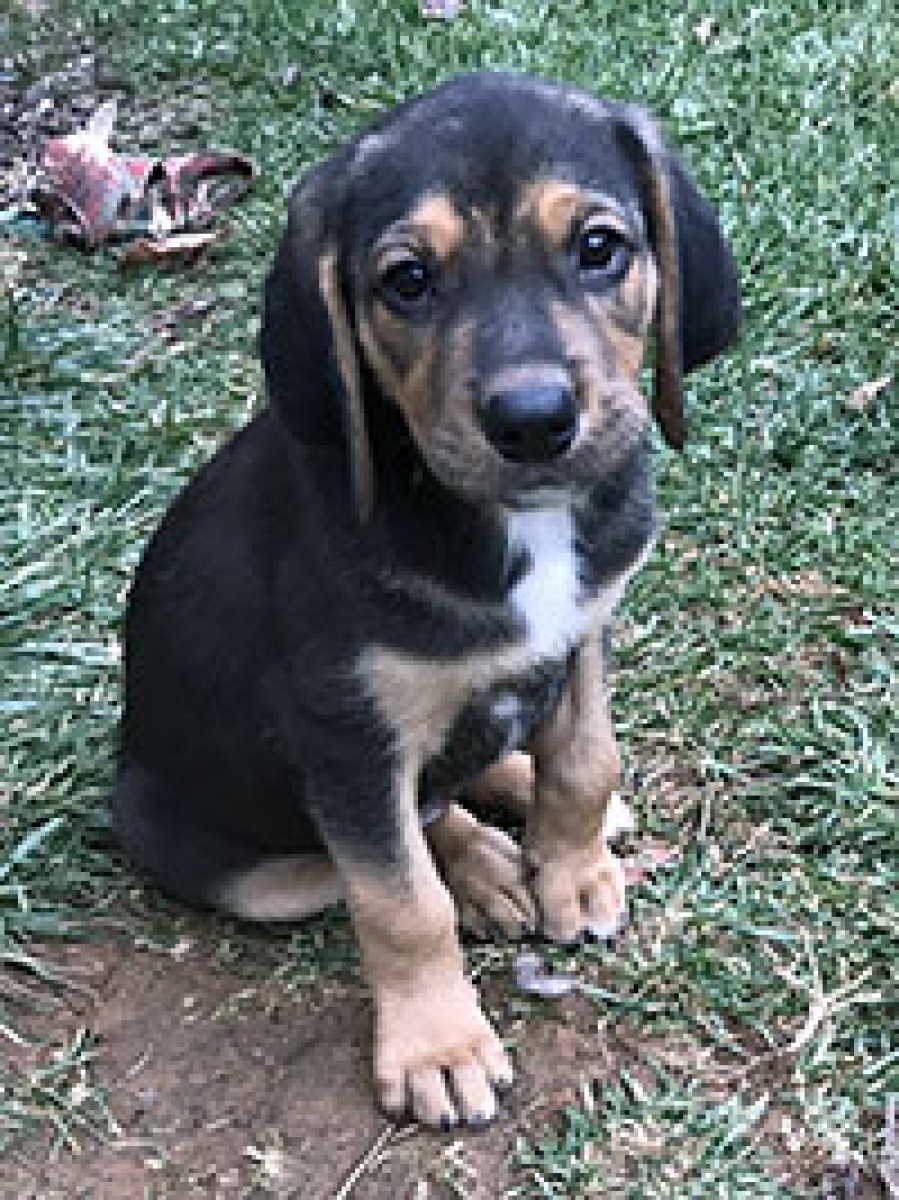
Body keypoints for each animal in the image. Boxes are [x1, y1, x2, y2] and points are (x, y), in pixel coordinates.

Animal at [110, 70, 740, 1130]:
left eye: (598, 248)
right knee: (389, 835)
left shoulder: (584, 630)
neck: (510, 527)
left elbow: (584, 760)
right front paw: (438, 1047)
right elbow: (400, 901)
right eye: (407, 280)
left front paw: (570, 868)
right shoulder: (345, 732)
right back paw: (481, 866)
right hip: (246, 860)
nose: (532, 421)